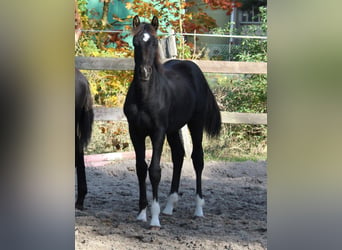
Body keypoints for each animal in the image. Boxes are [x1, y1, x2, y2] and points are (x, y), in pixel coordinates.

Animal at [123, 14, 222, 228]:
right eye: (135, 42)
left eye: (153, 42)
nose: (144, 73)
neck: (145, 97)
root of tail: (194, 69)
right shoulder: (135, 131)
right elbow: (141, 168)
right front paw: (142, 213)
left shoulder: (158, 131)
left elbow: (154, 170)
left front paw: (154, 218)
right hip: (174, 128)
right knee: (178, 155)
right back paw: (169, 206)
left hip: (195, 123)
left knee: (197, 158)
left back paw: (198, 209)